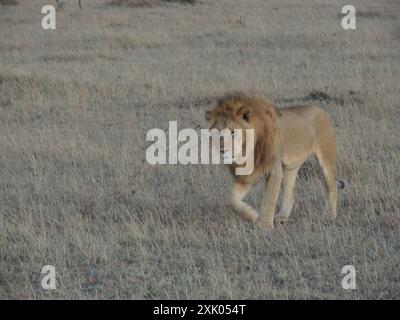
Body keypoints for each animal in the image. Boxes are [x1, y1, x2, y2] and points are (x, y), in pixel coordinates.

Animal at [206, 91, 344, 229]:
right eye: (217, 133)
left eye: (233, 131)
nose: (222, 150)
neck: (246, 151)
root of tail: (318, 108)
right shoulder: (246, 177)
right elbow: (232, 199)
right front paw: (252, 215)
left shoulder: (274, 170)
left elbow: (269, 198)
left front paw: (265, 225)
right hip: (290, 168)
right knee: (290, 195)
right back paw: (282, 218)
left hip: (326, 158)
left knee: (332, 187)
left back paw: (330, 215)